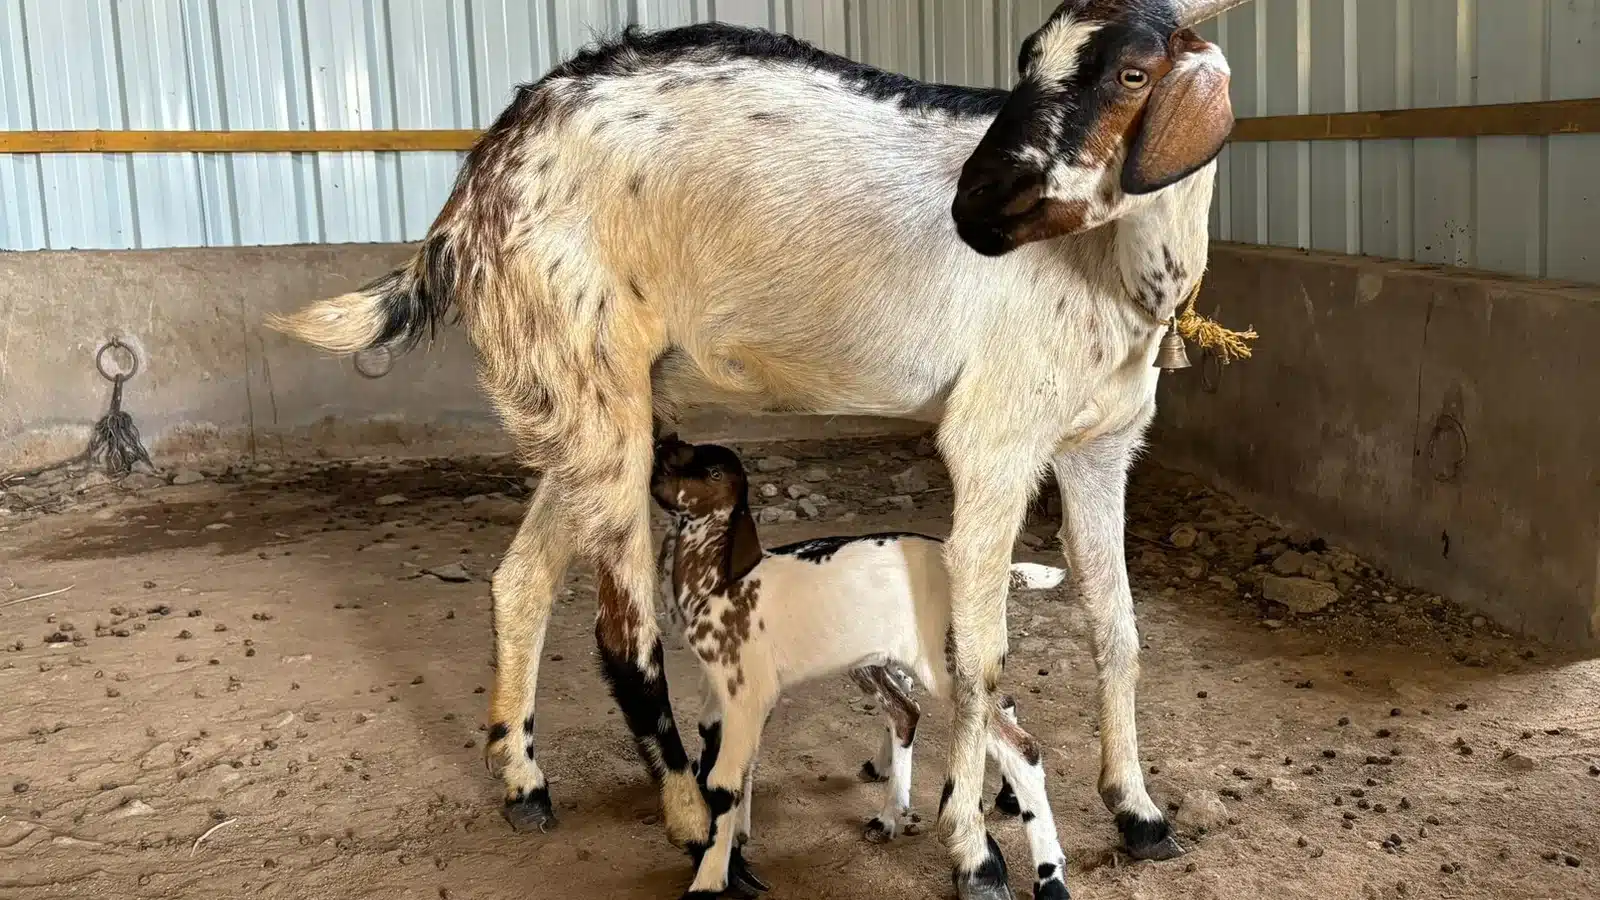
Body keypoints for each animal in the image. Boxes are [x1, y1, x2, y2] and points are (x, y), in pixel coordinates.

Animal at [651, 438, 1072, 899]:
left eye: (712, 473)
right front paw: (738, 841)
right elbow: (734, 758)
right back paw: (903, 812)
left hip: (947, 666)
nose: (660, 455)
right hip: (882, 660)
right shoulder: (727, 693)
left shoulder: (748, 691)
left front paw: (708, 882)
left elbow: (723, 780)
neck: (722, 585)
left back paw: (1046, 878)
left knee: (1019, 745)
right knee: (930, 711)